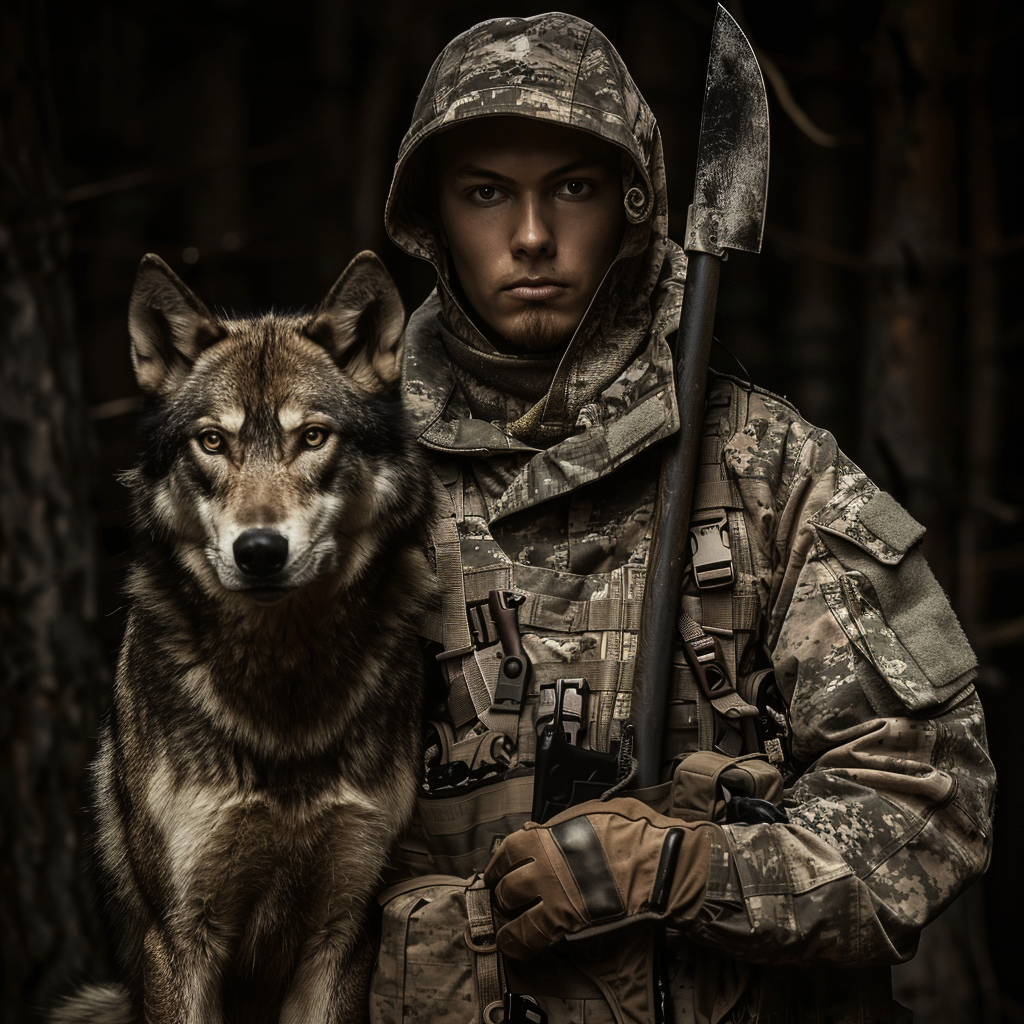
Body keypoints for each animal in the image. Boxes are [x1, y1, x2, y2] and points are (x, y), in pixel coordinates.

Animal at [54, 249, 434, 1024]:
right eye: (213, 441)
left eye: (312, 437)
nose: (259, 550)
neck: (282, 679)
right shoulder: (181, 938)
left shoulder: (342, 929)